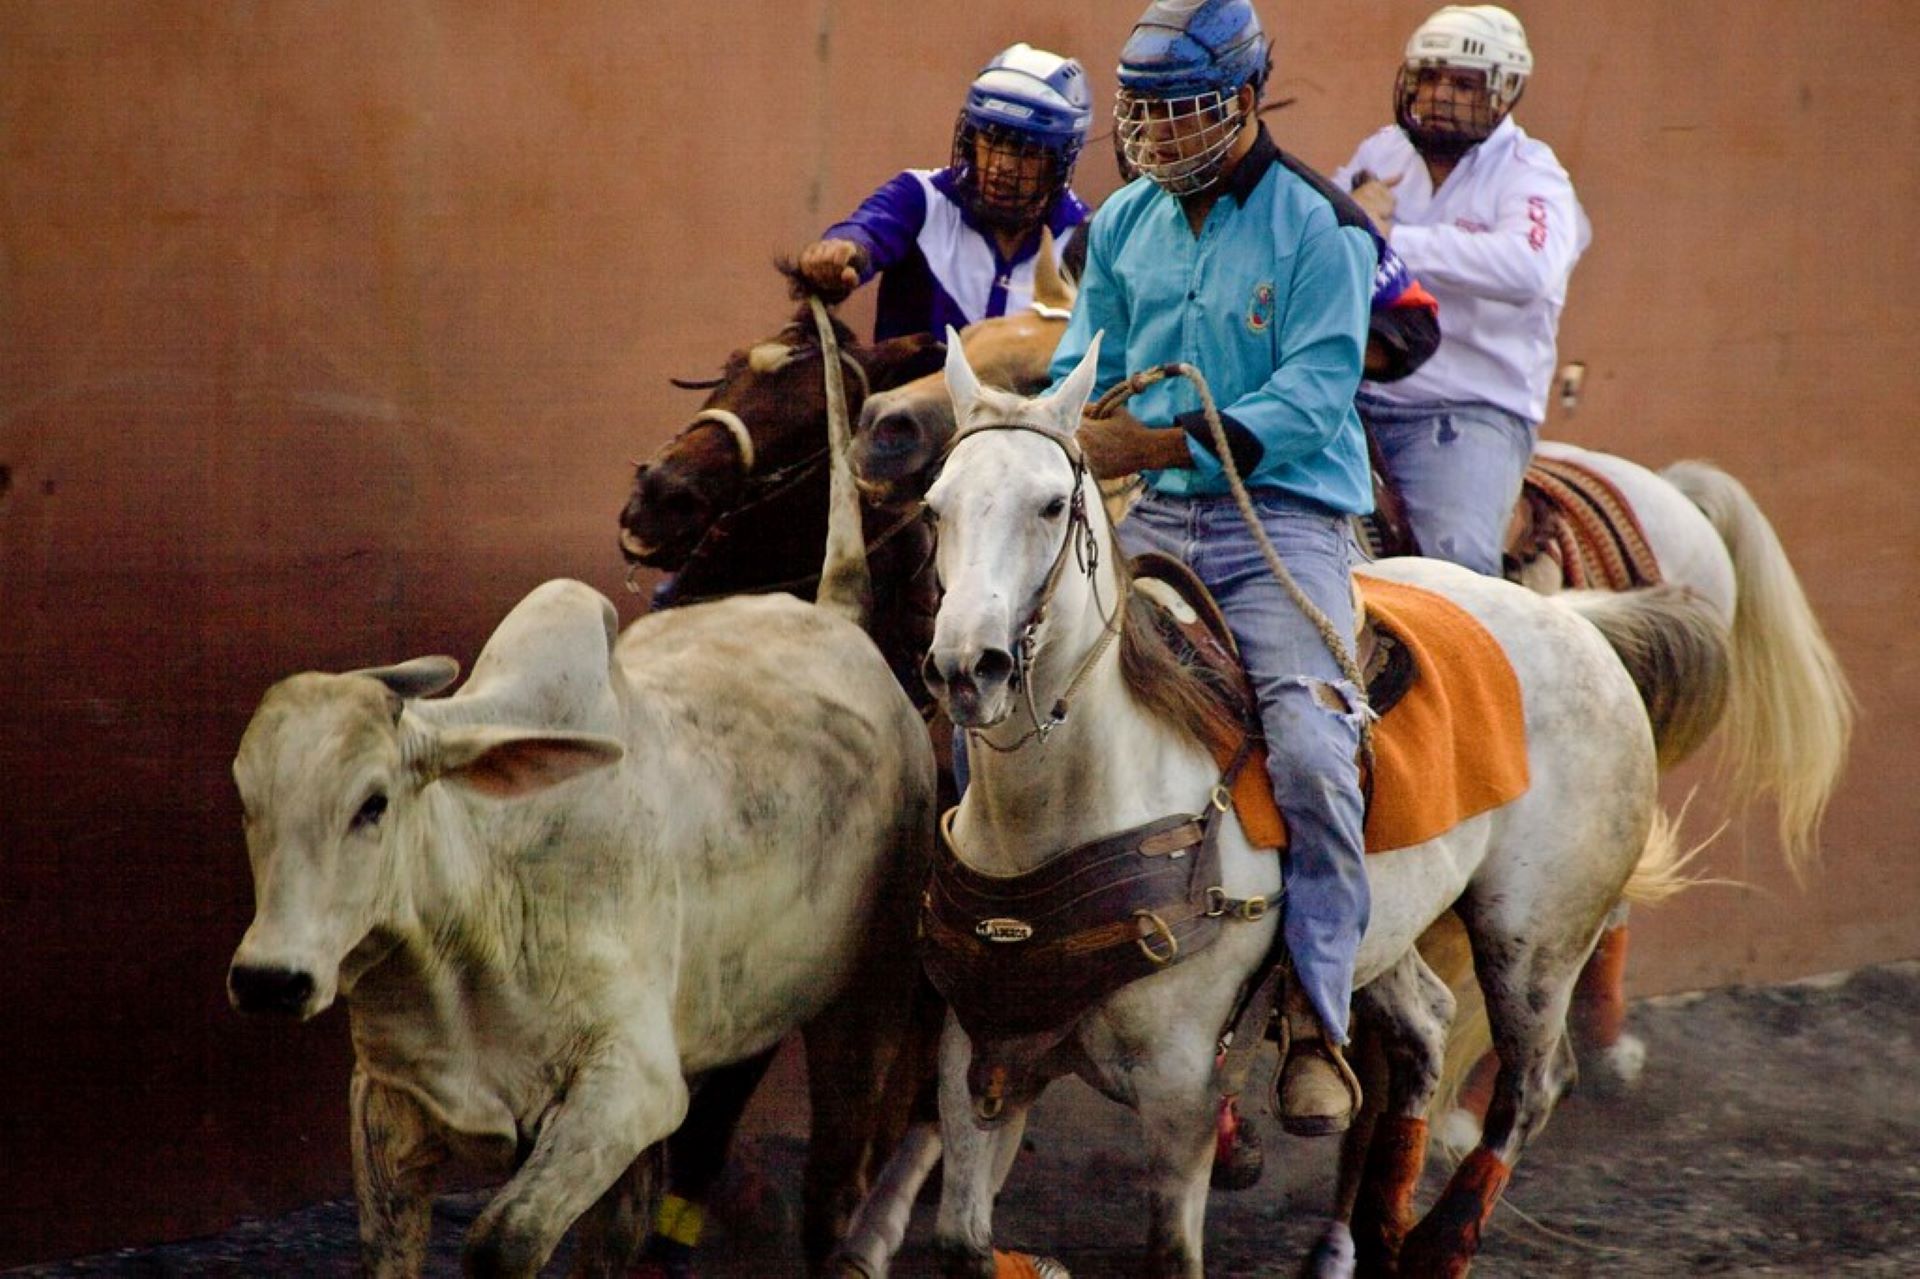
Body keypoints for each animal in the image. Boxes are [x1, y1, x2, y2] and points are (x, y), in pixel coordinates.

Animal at [228, 579, 933, 1275]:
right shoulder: (386, 1100)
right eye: (247, 801)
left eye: (373, 803)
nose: (270, 979)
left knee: (831, 1189)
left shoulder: (630, 1086)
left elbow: (502, 1239)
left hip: (865, 1008)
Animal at [906, 334, 1735, 1267]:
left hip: (1539, 937)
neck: (1074, 805)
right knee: (1424, 1031)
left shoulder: (1181, 1093)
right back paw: (1369, 1226)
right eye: (936, 507)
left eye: (1052, 505)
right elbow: (961, 1238)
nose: (966, 667)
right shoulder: (976, 1056)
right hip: (1389, 928)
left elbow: (1172, 1250)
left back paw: (1439, 1242)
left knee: (1532, 1084)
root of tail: (1582, 625)